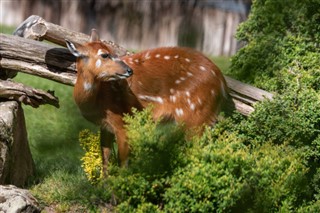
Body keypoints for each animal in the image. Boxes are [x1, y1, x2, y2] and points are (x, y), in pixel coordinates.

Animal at [65, 29, 230, 174]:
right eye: (105, 55)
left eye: (114, 52)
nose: (129, 70)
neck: (97, 102)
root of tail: (222, 81)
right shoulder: (105, 126)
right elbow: (105, 159)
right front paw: (103, 187)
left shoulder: (122, 122)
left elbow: (122, 162)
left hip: (197, 115)